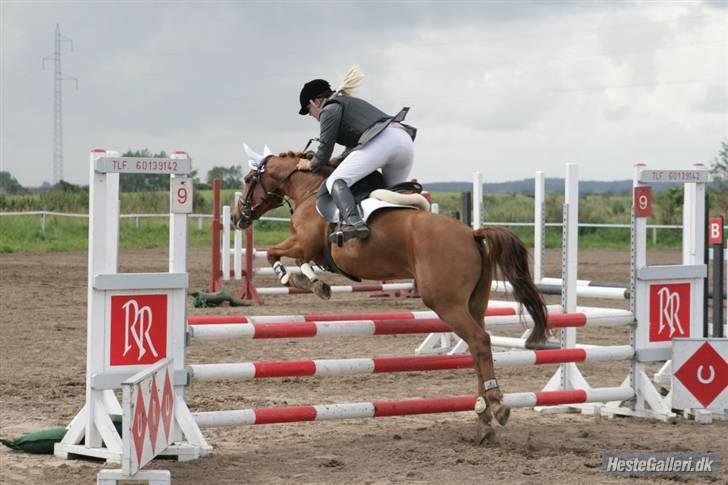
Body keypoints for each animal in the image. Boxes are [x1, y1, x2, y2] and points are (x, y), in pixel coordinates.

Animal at [233, 151, 544, 442]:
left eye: (248, 179)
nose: (238, 217)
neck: (309, 190)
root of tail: (472, 234)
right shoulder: (312, 251)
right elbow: (301, 262)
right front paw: (316, 283)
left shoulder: (303, 243)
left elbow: (274, 254)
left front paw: (294, 279)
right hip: (475, 304)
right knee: (478, 348)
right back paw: (483, 419)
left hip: (445, 302)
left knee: (480, 341)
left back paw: (496, 405)